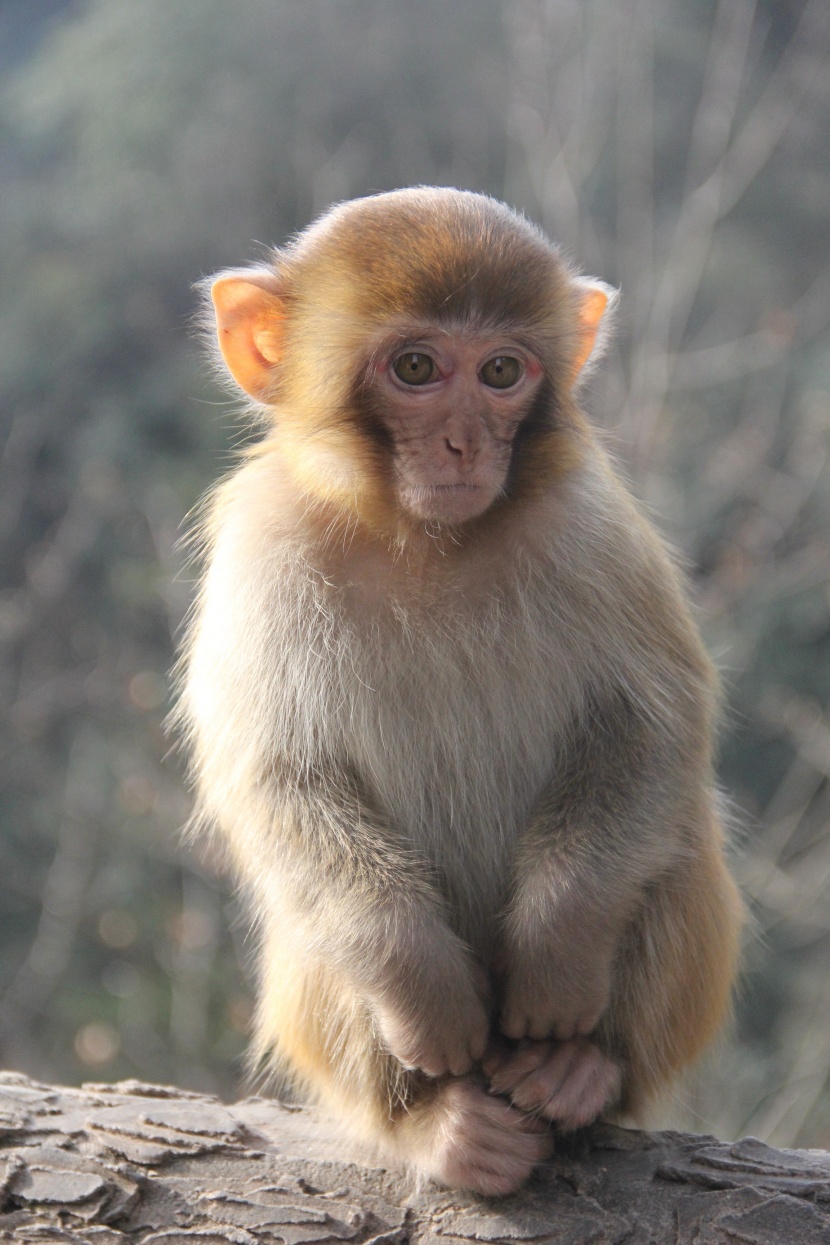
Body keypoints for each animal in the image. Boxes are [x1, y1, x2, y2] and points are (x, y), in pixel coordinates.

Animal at [174, 184, 741, 1195]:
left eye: (503, 371)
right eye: (416, 367)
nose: (464, 441)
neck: (425, 539)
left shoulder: (590, 522)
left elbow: (655, 728)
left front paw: (557, 951)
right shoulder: (264, 543)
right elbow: (277, 778)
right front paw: (419, 983)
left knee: (673, 831)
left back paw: (580, 1069)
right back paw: (436, 1123)